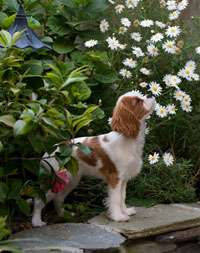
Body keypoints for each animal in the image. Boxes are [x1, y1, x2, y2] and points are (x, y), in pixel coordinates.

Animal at [31, 91, 156, 227]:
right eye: (138, 101)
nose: (150, 94)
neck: (128, 139)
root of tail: (49, 153)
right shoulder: (115, 178)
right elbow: (116, 199)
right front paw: (118, 217)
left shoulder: (123, 179)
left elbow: (122, 196)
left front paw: (125, 211)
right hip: (54, 179)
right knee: (39, 199)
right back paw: (36, 221)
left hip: (71, 180)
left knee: (58, 198)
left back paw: (63, 214)